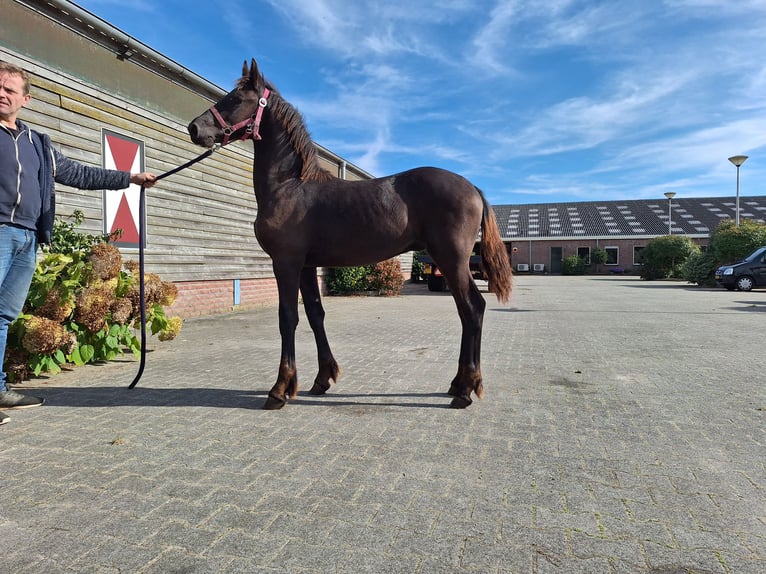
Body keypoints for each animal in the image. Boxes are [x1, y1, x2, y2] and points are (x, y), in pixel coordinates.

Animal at [187, 59, 512, 410]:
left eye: (235, 99)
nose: (194, 128)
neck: (290, 186)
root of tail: (472, 187)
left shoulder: (285, 262)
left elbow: (287, 317)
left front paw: (280, 389)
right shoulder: (306, 265)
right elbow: (315, 314)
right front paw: (322, 378)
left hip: (451, 261)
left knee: (471, 310)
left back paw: (465, 390)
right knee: (470, 311)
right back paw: (458, 385)